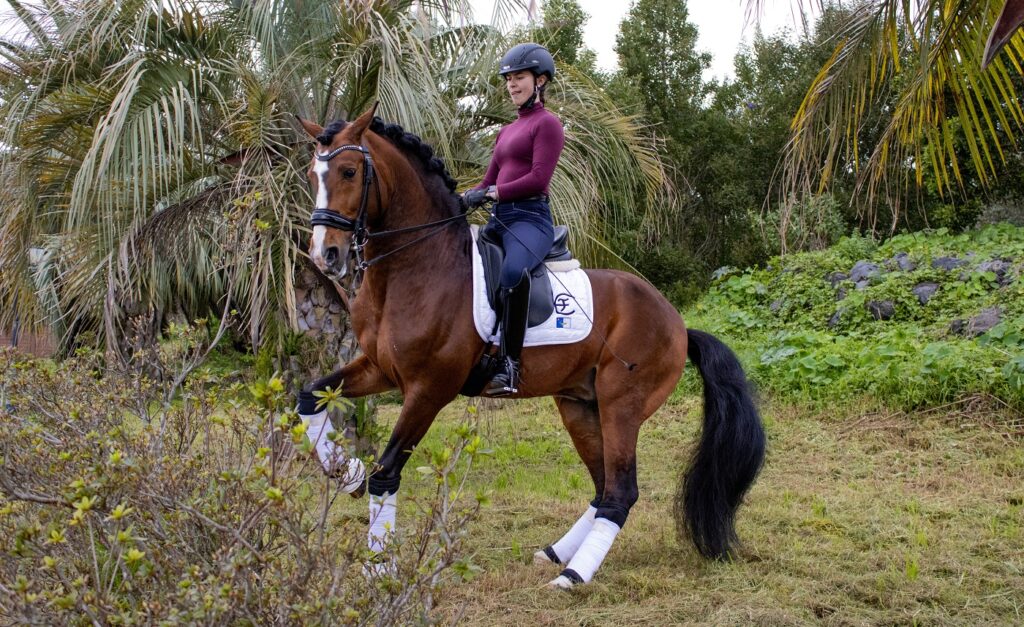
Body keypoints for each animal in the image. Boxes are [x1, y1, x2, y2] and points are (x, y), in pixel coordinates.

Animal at [292, 102, 765, 586]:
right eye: (312, 174)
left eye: (349, 171)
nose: (325, 256)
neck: (417, 266)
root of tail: (677, 322)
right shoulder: (380, 368)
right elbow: (308, 395)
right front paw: (345, 472)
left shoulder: (429, 390)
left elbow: (386, 472)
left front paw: (379, 566)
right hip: (580, 405)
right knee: (603, 486)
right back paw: (557, 553)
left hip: (622, 405)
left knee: (621, 491)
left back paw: (573, 576)